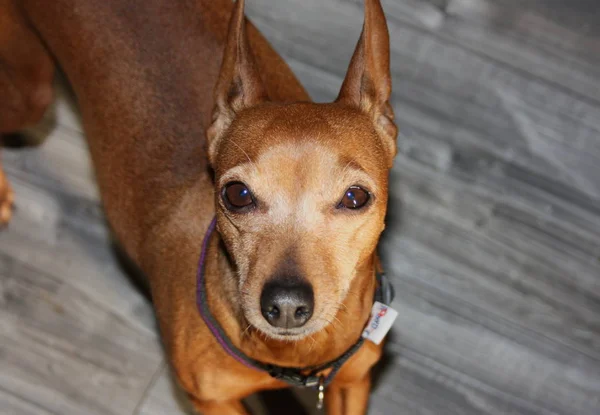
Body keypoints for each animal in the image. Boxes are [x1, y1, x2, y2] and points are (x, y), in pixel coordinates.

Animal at [1, 0, 398, 412]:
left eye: (355, 197)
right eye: (238, 194)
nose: (286, 305)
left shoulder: (352, 383)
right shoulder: (211, 402)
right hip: (29, 96)